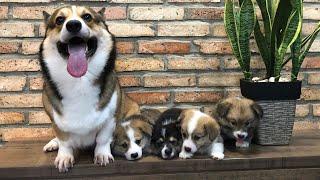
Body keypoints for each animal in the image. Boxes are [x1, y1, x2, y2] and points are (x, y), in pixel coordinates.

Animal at [40, 5, 140, 172]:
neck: (79, 82)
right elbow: (64, 141)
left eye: (87, 17)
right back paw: (53, 143)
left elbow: (103, 139)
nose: (73, 25)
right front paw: (64, 157)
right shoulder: (56, 120)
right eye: (60, 19)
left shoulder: (110, 117)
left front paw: (102, 155)